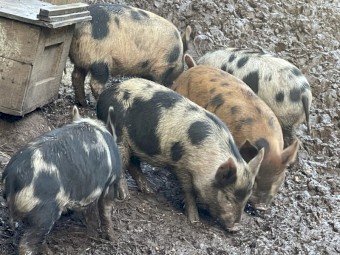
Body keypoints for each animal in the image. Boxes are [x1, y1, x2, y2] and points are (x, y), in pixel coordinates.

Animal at [1, 106, 126, 255]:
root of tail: (11, 178)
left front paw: (93, 232)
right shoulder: (109, 182)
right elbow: (105, 209)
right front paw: (112, 238)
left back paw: (48, 250)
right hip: (44, 212)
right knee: (27, 244)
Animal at [96, 77, 266, 231]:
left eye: (246, 198)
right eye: (227, 197)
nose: (236, 228)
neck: (208, 161)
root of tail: (105, 94)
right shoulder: (182, 165)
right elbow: (188, 191)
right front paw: (194, 220)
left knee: (133, 164)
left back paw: (151, 190)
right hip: (119, 135)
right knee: (122, 162)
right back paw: (125, 196)